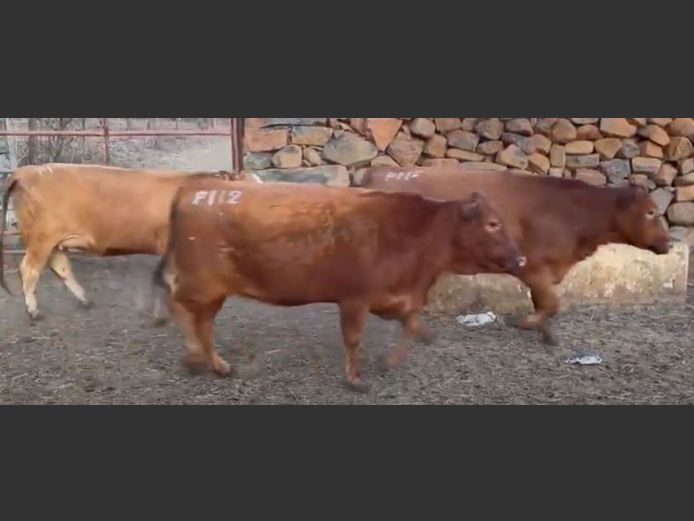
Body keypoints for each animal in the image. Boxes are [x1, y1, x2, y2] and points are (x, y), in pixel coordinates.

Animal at [0, 163, 262, 322]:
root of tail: (25, 171)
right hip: (41, 238)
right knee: (29, 269)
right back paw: (33, 311)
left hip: (52, 240)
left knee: (60, 266)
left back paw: (84, 300)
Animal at [152, 177, 526, 392]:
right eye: (493, 224)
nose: (521, 259)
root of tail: (190, 190)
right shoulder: (355, 299)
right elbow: (354, 338)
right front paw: (355, 379)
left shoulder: (393, 296)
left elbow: (411, 324)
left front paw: (396, 357)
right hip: (201, 283)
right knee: (177, 303)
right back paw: (194, 356)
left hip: (212, 292)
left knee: (202, 322)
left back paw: (218, 365)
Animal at [360, 165, 673, 346]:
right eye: (651, 212)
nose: (669, 243)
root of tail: (379, 173)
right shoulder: (532, 267)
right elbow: (551, 304)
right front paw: (524, 324)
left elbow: (544, 304)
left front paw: (546, 335)